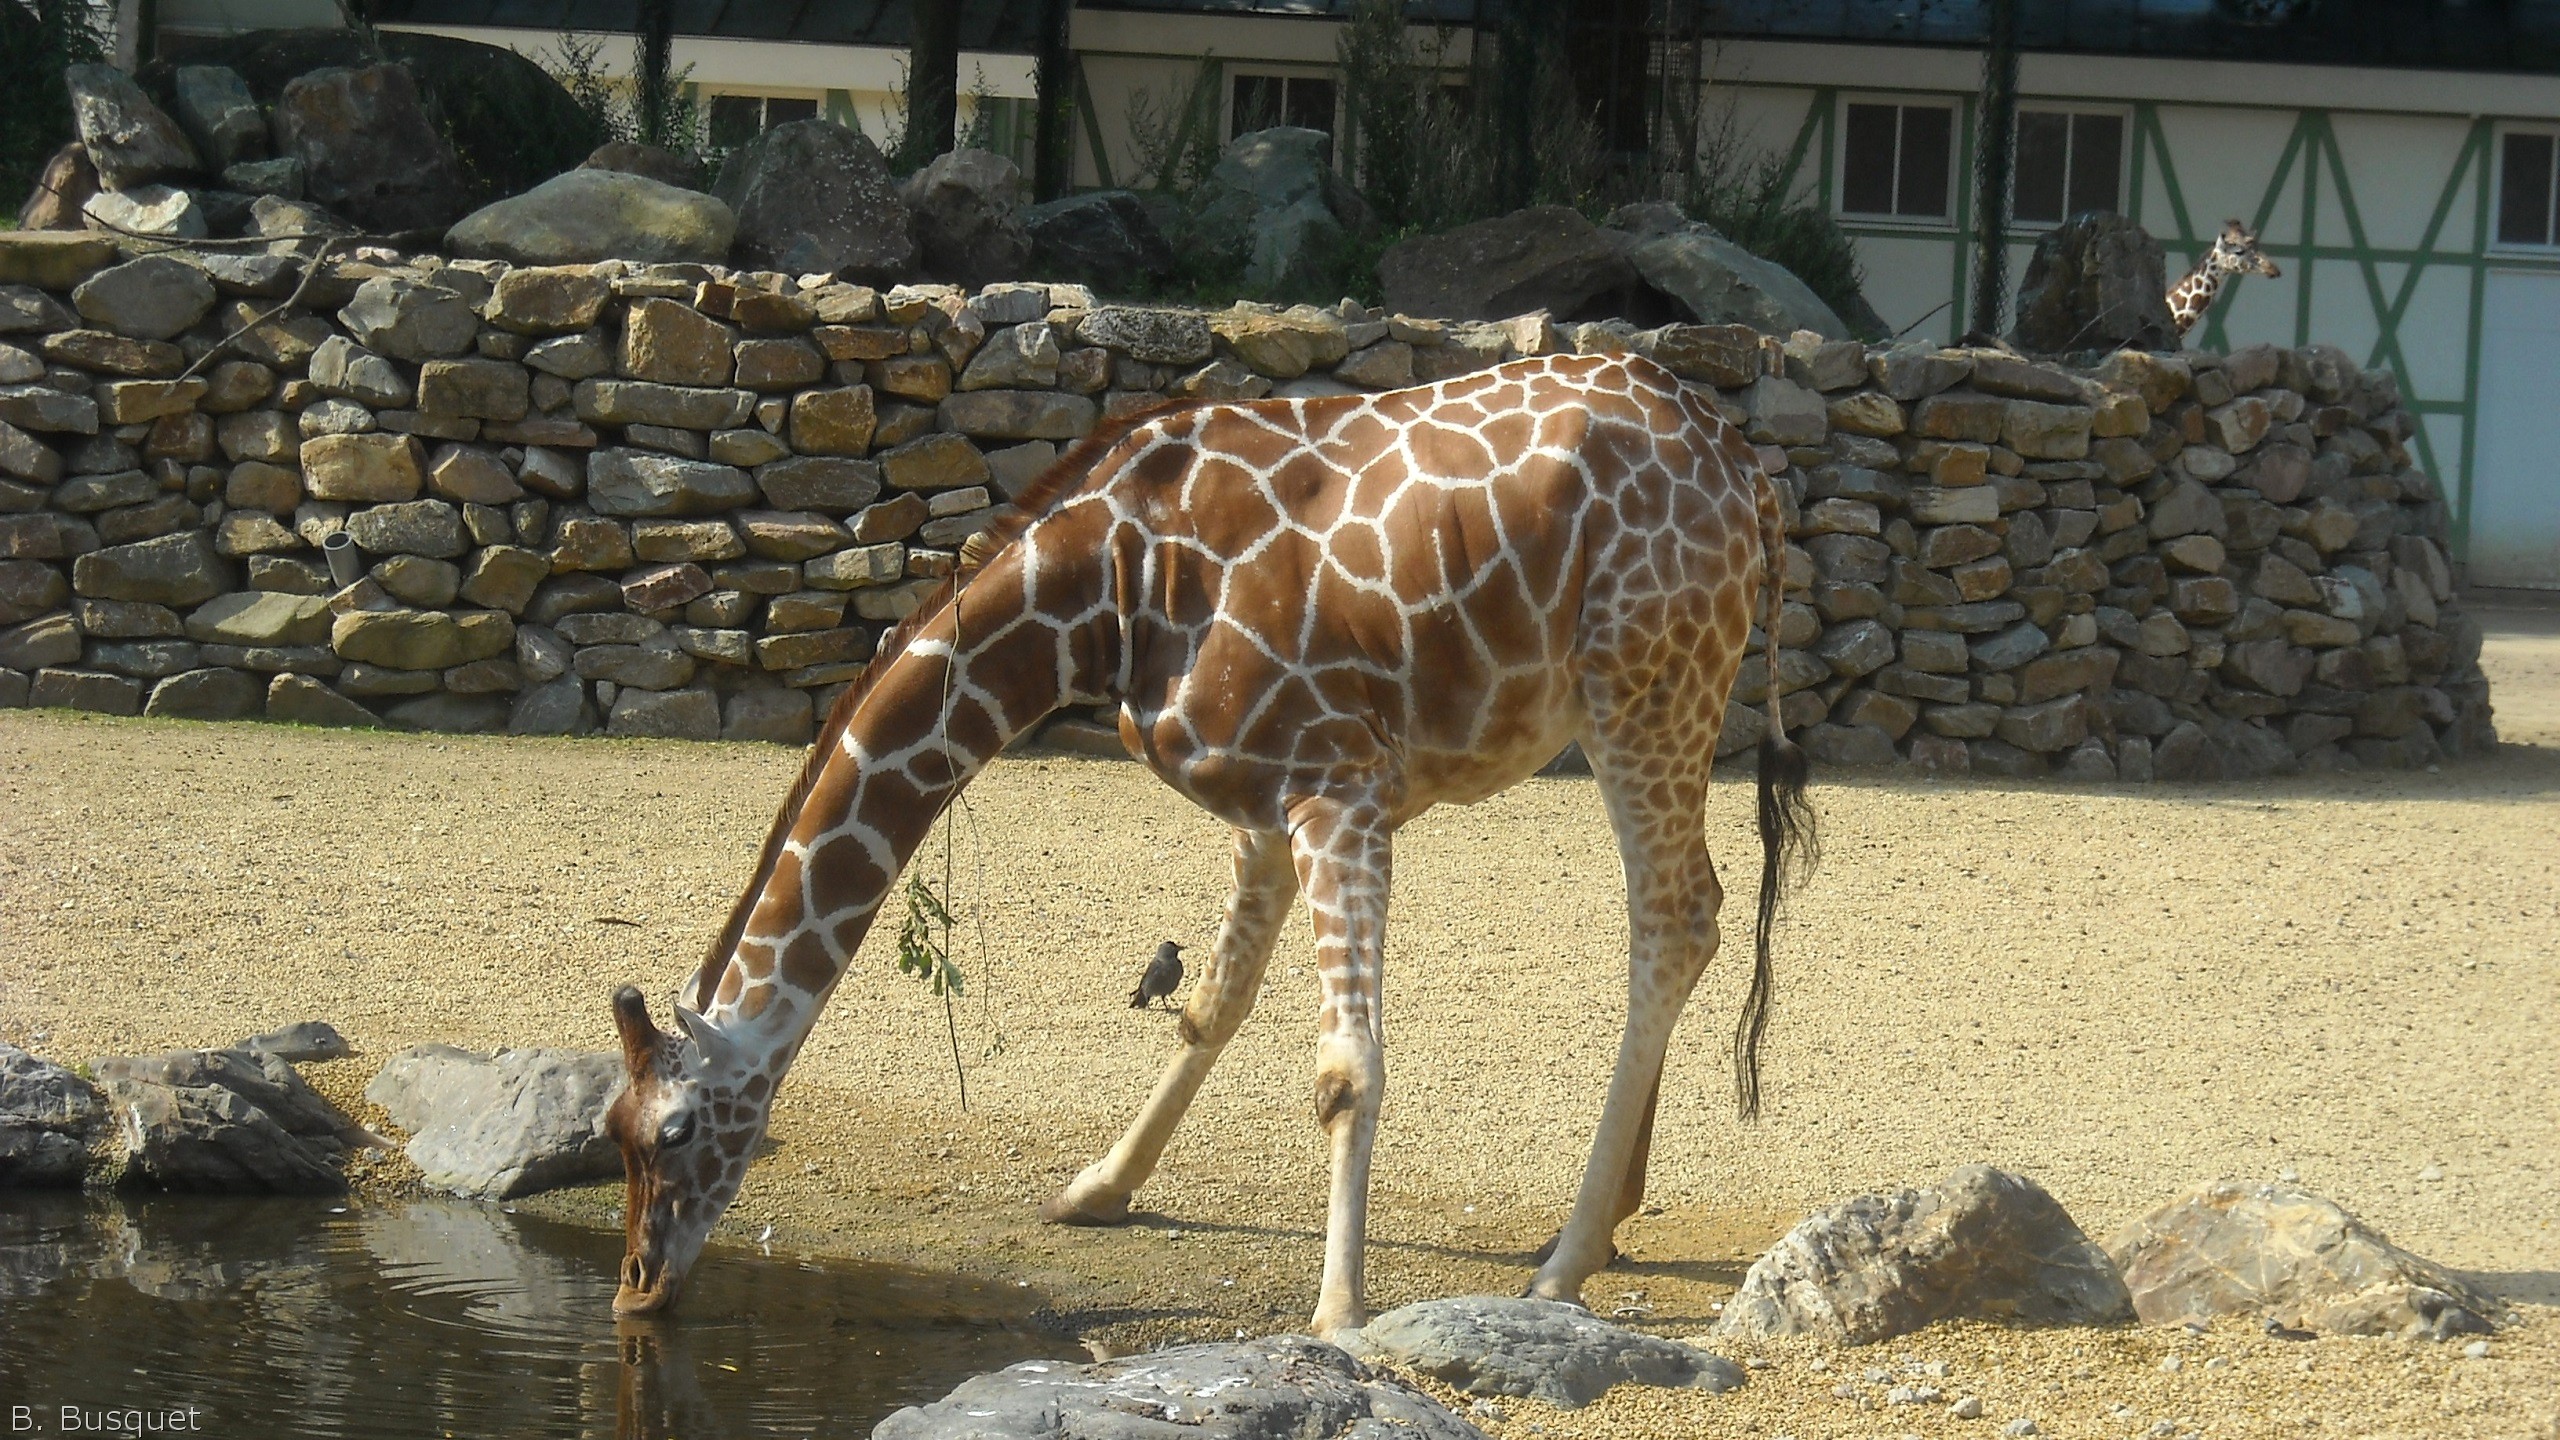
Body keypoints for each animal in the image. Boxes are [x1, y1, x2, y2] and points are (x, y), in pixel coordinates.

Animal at [602, 350, 1818, 1337]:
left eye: (671, 1132)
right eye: (609, 1127)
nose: (635, 1290)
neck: (1107, 593)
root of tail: (1748, 475)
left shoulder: (1339, 784)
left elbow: (1344, 1069)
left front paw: (1337, 1313)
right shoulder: (1266, 806)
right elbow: (1211, 1004)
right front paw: (1094, 1190)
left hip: (1645, 689)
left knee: (1678, 917)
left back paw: (1562, 1267)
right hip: (1654, 699)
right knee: (1673, 917)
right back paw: (1604, 1226)